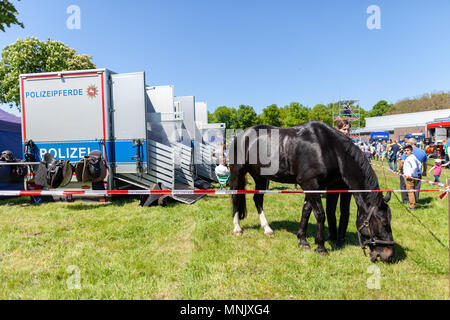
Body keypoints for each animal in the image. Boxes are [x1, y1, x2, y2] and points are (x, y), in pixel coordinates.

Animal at [229, 120, 394, 262]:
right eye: (383, 221)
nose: (388, 254)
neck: (329, 148)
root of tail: (240, 136)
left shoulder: (315, 186)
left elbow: (306, 211)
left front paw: (302, 240)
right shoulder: (309, 183)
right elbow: (320, 214)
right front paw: (321, 247)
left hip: (261, 177)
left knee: (258, 200)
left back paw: (267, 229)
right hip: (237, 173)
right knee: (236, 198)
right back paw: (237, 228)